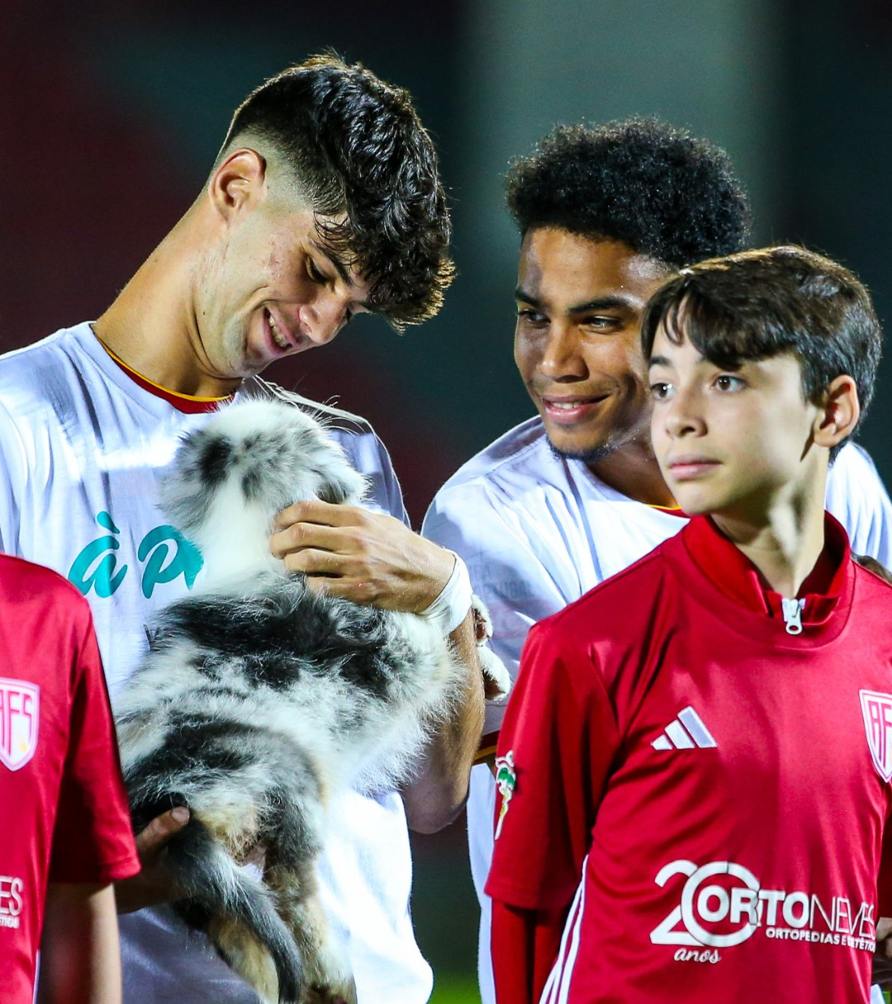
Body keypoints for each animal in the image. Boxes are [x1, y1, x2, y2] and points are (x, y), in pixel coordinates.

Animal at [114, 399, 508, 1003]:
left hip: (204, 880)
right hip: (289, 781)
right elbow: (436, 632)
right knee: (292, 894)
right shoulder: (410, 644)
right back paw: (334, 976)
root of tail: (155, 802)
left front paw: (492, 660)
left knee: (242, 928)